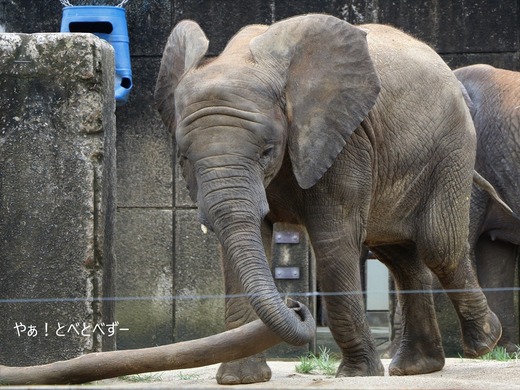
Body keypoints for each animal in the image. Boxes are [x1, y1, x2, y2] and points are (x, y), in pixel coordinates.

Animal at [153, 13, 500, 386]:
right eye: (184, 158)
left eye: (267, 151)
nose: (295, 305)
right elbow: (241, 244)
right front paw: (240, 379)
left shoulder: (345, 138)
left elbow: (333, 238)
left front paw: (357, 374)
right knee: (399, 256)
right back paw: (416, 367)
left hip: (453, 146)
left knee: (439, 245)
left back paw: (485, 341)